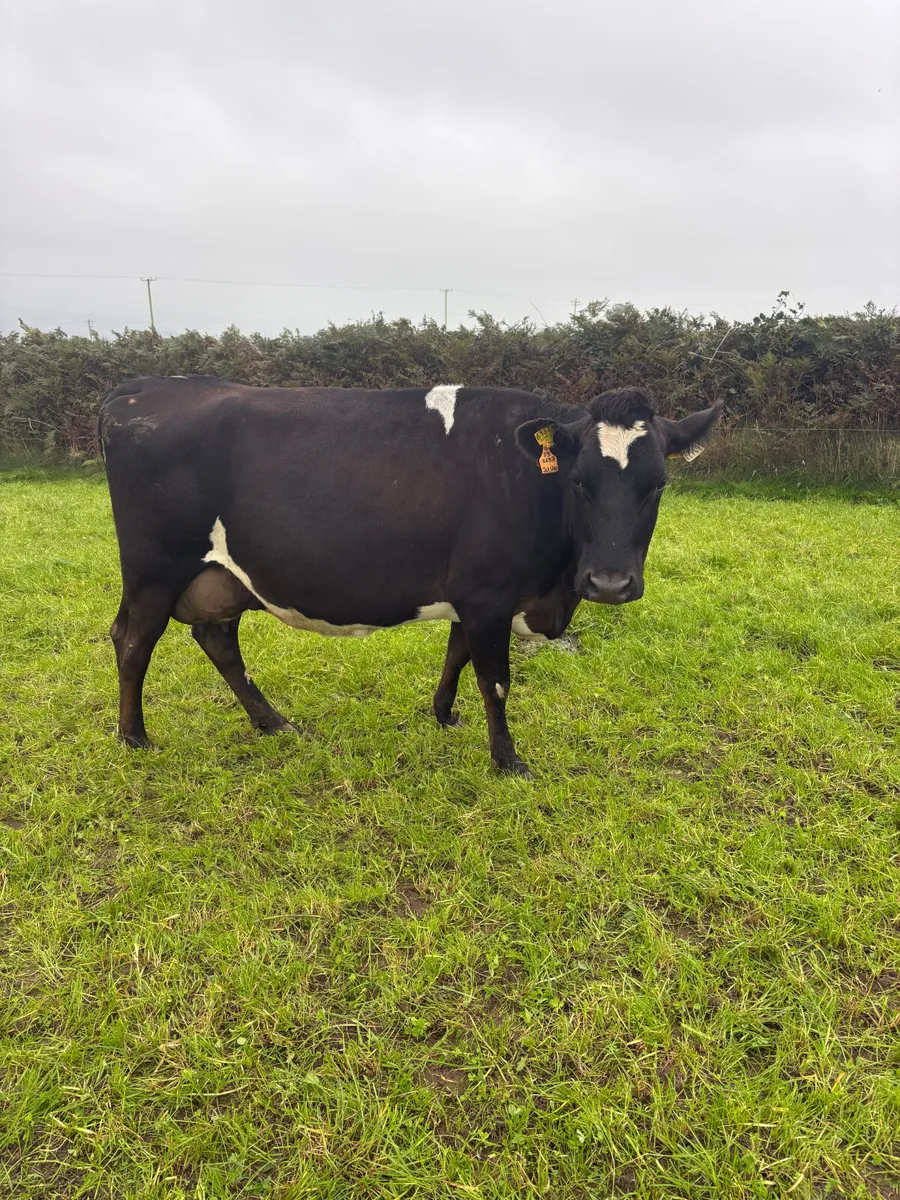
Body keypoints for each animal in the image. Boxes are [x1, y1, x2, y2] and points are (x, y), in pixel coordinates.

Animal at [99, 377, 722, 775]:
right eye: (578, 482)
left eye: (658, 484)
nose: (609, 583)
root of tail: (143, 386)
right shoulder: (488, 592)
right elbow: (494, 678)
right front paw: (507, 761)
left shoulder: (473, 592)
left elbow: (457, 654)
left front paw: (444, 716)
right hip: (154, 571)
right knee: (133, 642)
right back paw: (134, 738)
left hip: (220, 578)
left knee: (216, 640)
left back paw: (273, 723)